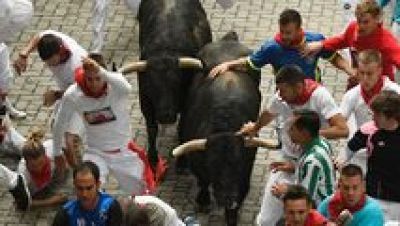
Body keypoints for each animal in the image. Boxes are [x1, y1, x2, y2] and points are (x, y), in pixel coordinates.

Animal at [177, 32, 264, 226]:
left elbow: (242, 187)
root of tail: (228, 39)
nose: (228, 200)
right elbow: (203, 181)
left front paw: (232, 215)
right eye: (213, 164)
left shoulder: (246, 166)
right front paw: (203, 201)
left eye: (238, 163)